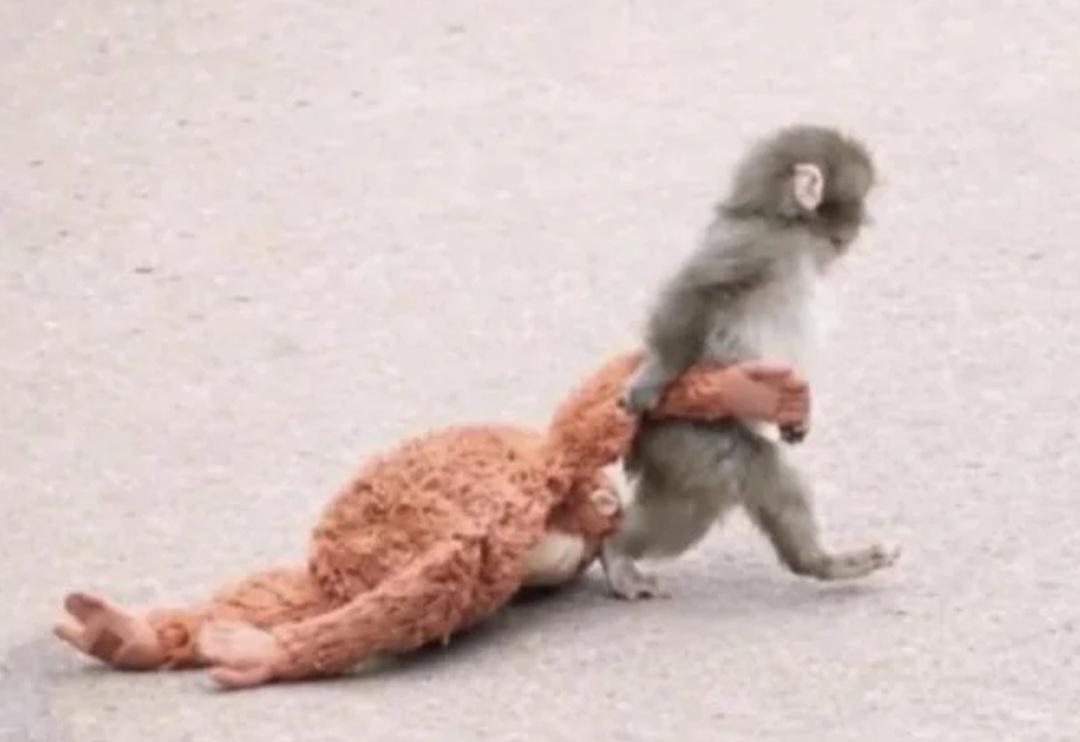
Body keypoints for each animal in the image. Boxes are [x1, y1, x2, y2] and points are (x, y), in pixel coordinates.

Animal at [600, 123, 900, 600]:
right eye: (861, 197)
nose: (863, 222)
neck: (785, 224)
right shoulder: (755, 246)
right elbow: (696, 290)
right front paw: (654, 374)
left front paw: (797, 415)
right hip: (686, 436)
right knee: (730, 479)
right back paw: (615, 551)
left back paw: (824, 563)